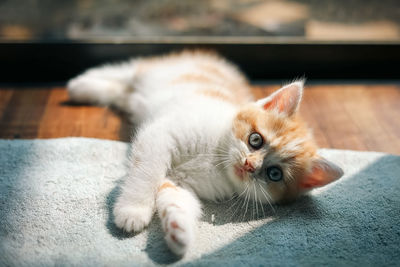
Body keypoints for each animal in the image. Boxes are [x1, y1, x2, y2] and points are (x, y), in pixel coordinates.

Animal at [67, 50, 342, 258]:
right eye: (255, 140)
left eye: (274, 174)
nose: (249, 165)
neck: (216, 160)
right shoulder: (161, 134)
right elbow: (146, 173)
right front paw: (133, 211)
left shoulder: (180, 181)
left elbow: (176, 198)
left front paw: (179, 231)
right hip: (161, 71)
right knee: (129, 69)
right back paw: (82, 83)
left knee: (122, 92)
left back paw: (87, 88)